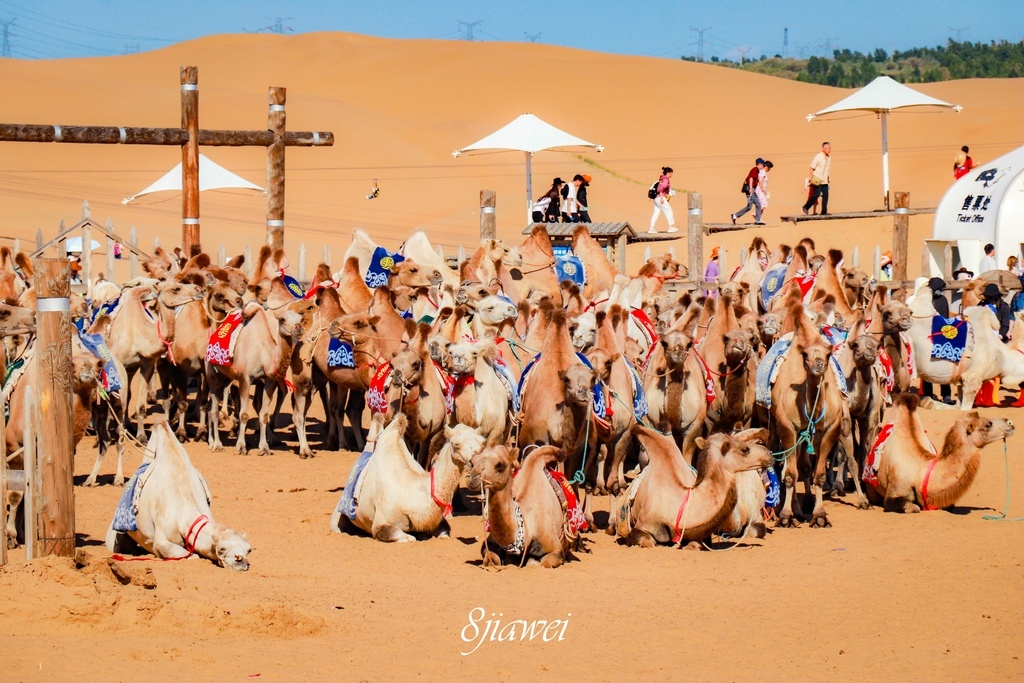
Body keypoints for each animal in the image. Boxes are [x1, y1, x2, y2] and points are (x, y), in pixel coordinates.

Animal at [104, 421, 252, 573]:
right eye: (222, 549)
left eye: (249, 550)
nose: (241, 560)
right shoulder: (162, 539)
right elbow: (182, 553)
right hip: (116, 536)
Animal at [329, 417, 485, 540]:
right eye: (456, 444)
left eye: (481, 444)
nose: (475, 463)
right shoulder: (381, 522)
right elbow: (406, 537)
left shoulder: (438, 522)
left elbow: (444, 533)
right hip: (338, 517)